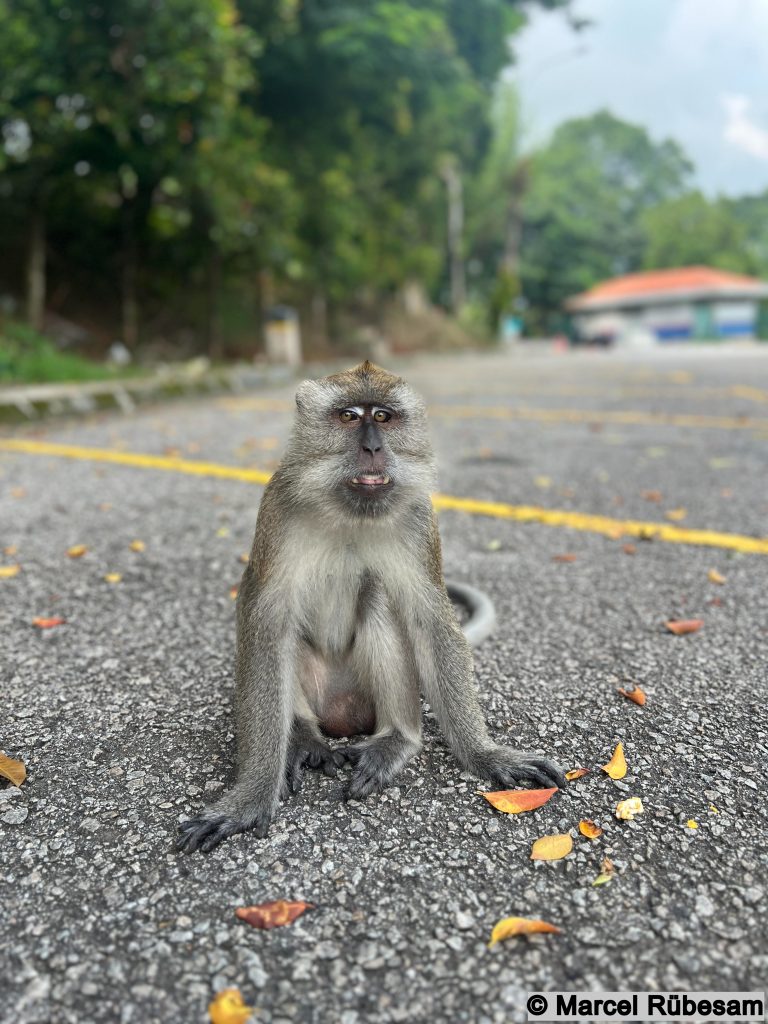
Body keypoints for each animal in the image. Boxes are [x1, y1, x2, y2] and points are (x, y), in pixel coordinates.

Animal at [179, 364, 565, 851]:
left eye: (382, 416)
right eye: (348, 416)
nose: (373, 447)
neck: (350, 513)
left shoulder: (418, 519)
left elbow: (431, 622)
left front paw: (487, 754)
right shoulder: (278, 510)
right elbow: (265, 626)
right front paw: (251, 795)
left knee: (380, 597)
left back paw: (396, 740)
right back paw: (303, 736)